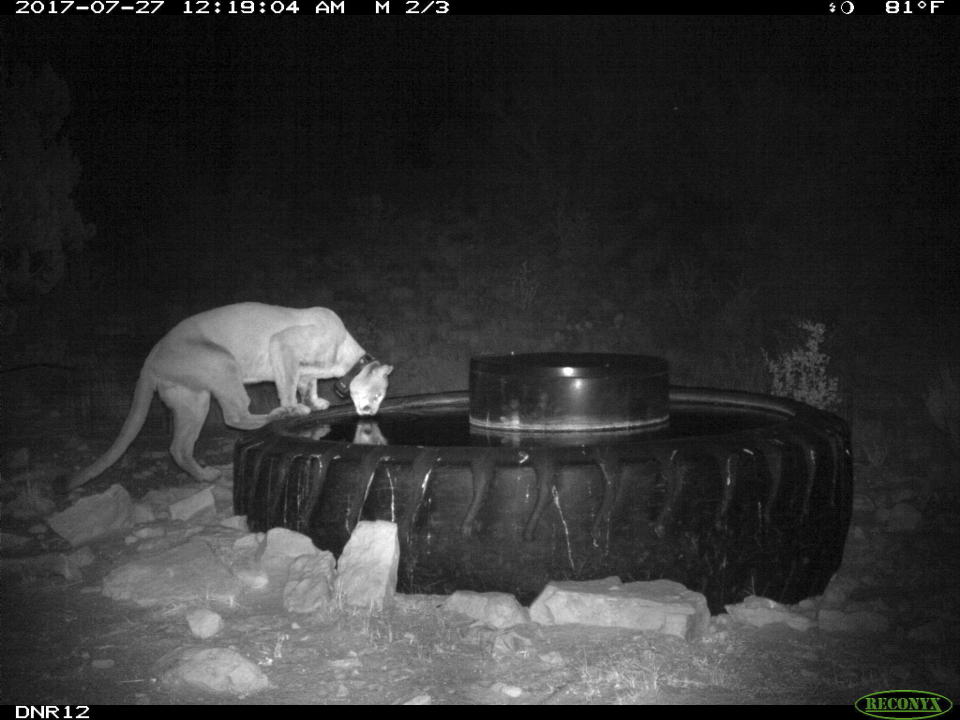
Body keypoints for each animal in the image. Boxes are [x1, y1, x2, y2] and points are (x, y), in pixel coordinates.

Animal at [67, 304, 392, 490]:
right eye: (377, 394)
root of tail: (151, 358)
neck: (344, 358)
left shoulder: (306, 369)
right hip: (222, 362)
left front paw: (315, 402)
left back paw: (206, 477)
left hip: (193, 400)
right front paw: (295, 407)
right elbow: (288, 384)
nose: (370, 413)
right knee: (235, 415)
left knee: (179, 447)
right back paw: (279, 415)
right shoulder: (283, 344)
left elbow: (307, 383)